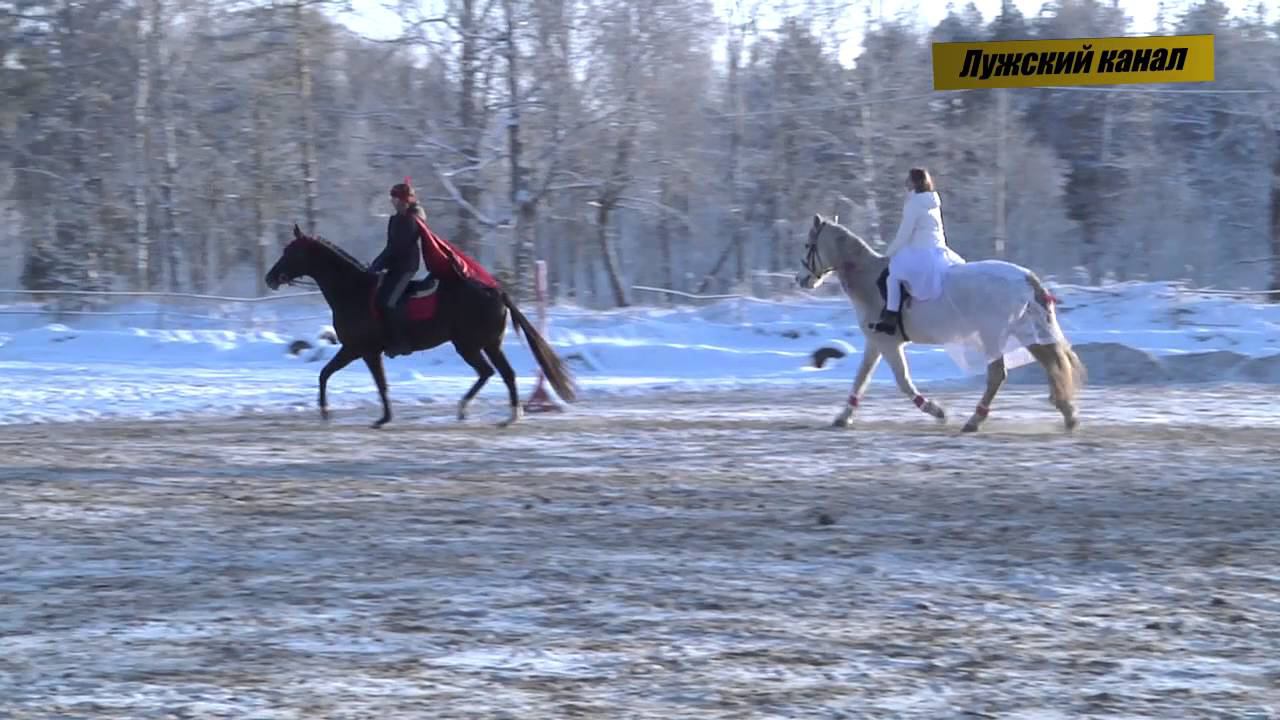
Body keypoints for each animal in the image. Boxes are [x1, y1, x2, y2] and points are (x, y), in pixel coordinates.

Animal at [264, 224, 576, 425]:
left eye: (291, 252)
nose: (270, 278)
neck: (352, 290)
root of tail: (496, 291)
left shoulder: (360, 350)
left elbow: (344, 377)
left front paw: (331, 412)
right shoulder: (361, 351)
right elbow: (341, 376)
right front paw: (378, 416)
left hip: (469, 345)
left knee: (490, 372)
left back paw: (476, 409)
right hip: (487, 344)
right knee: (502, 373)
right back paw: (504, 413)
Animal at [793, 212, 1085, 430]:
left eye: (808, 245)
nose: (800, 279)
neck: (867, 278)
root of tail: (1025, 277)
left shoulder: (888, 344)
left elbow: (902, 381)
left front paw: (936, 411)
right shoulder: (875, 343)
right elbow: (861, 379)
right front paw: (843, 417)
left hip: (994, 335)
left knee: (998, 375)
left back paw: (974, 420)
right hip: (1026, 332)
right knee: (1052, 365)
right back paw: (1068, 414)